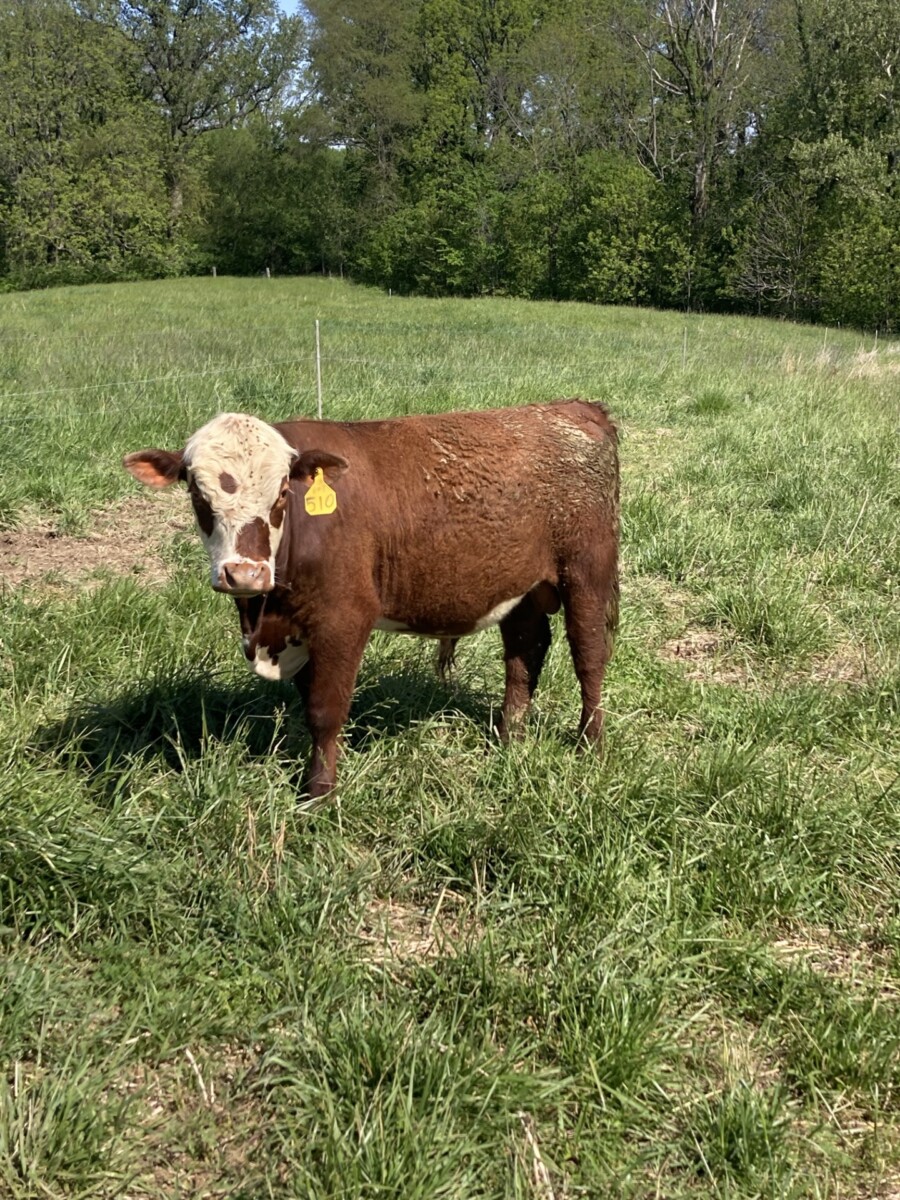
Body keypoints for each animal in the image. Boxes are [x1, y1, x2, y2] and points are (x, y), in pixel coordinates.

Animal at [124, 400, 619, 799]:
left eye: (282, 492)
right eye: (196, 493)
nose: (244, 573)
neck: (266, 619)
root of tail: (572, 407)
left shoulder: (343, 620)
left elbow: (325, 710)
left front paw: (319, 794)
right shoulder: (302, 631)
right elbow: (310, 702)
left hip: (586, 572)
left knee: (589, 656)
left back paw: (591, 745)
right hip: (523, 587)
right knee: (524, 650)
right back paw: (510, 736)